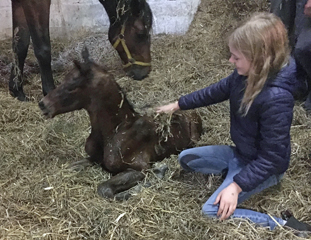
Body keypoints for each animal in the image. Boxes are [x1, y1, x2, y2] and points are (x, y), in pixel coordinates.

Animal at [10, 0, 154, 101]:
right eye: (141, 33)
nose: (144, 72)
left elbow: (20, 44)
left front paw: (17, 91)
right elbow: (42, 48)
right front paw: (49, 93)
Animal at [39, 48, 204, 199]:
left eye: (71, 87)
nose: (43, 104)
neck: (115, 130)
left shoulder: (139, 168)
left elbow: (105, 189)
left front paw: (157, 174)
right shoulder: (93, 159)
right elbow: (68, 168)